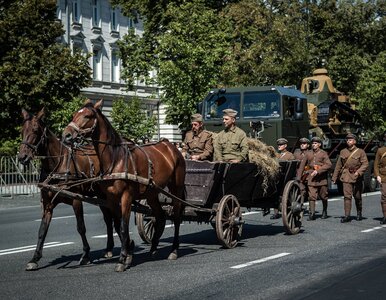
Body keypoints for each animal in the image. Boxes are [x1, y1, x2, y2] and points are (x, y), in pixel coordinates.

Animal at [17, 107, 120, 270]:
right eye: (22, 130)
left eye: (35, 130)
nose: (22, 157)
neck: (58, 165)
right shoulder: (47, 205)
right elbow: (42, 230)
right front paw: (35, 258)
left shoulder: (76, 201)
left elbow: (81, 227)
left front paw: (86, 255)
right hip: (100, 196)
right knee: (108, 219)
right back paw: (109, 249)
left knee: (110, 219)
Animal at [62, 100, 186, 272]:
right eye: (74, 114)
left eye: (87, 116)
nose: (66, 134)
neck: (116, 159)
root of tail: (171, 146)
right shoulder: (111, 199)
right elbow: (117, 225)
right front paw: (128, 254)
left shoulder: (126, 197)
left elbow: (122, 227)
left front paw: (122, 259)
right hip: (152, 193)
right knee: (160, 217)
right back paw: (153, 249)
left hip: (176, 188)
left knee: (176, 217)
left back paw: (174, 250)